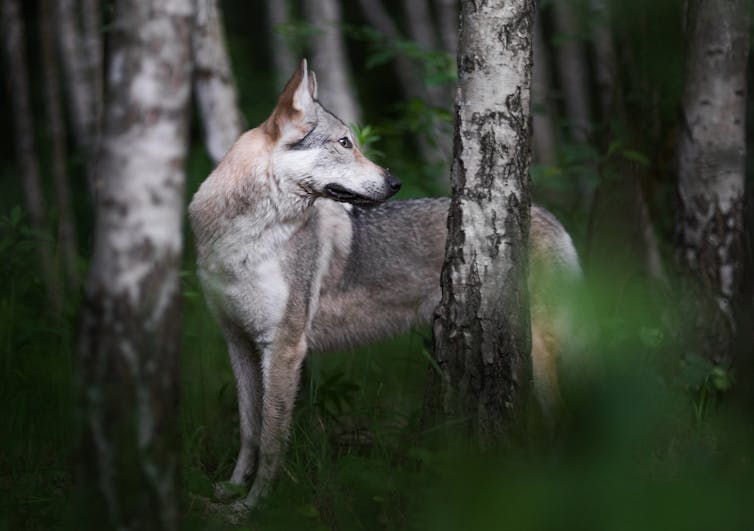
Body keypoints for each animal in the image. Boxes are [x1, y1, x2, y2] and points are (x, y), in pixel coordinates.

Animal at [188, 59, 581, 511]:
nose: (395, 183)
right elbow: (250, 430)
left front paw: (252, 506)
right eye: (344, 143)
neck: (244, 237)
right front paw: (232, 489)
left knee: (562, 418)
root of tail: (548, 215)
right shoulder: (238, 341)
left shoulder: (284, 347)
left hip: (542, 351)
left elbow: (272, 439)